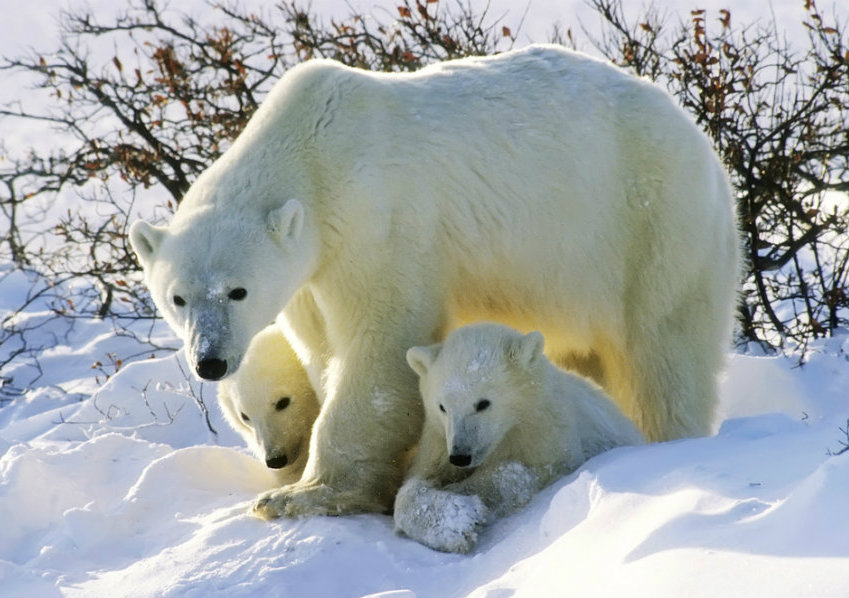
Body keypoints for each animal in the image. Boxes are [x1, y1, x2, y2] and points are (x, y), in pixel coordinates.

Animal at [396, 326, 644, 556]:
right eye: (442, 407)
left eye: (483, 403)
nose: (460, 456)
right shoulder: (438, 442)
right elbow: (414, 484)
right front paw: (454, 520)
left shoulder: (549, 435)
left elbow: (520, 473)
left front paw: (465, 500)